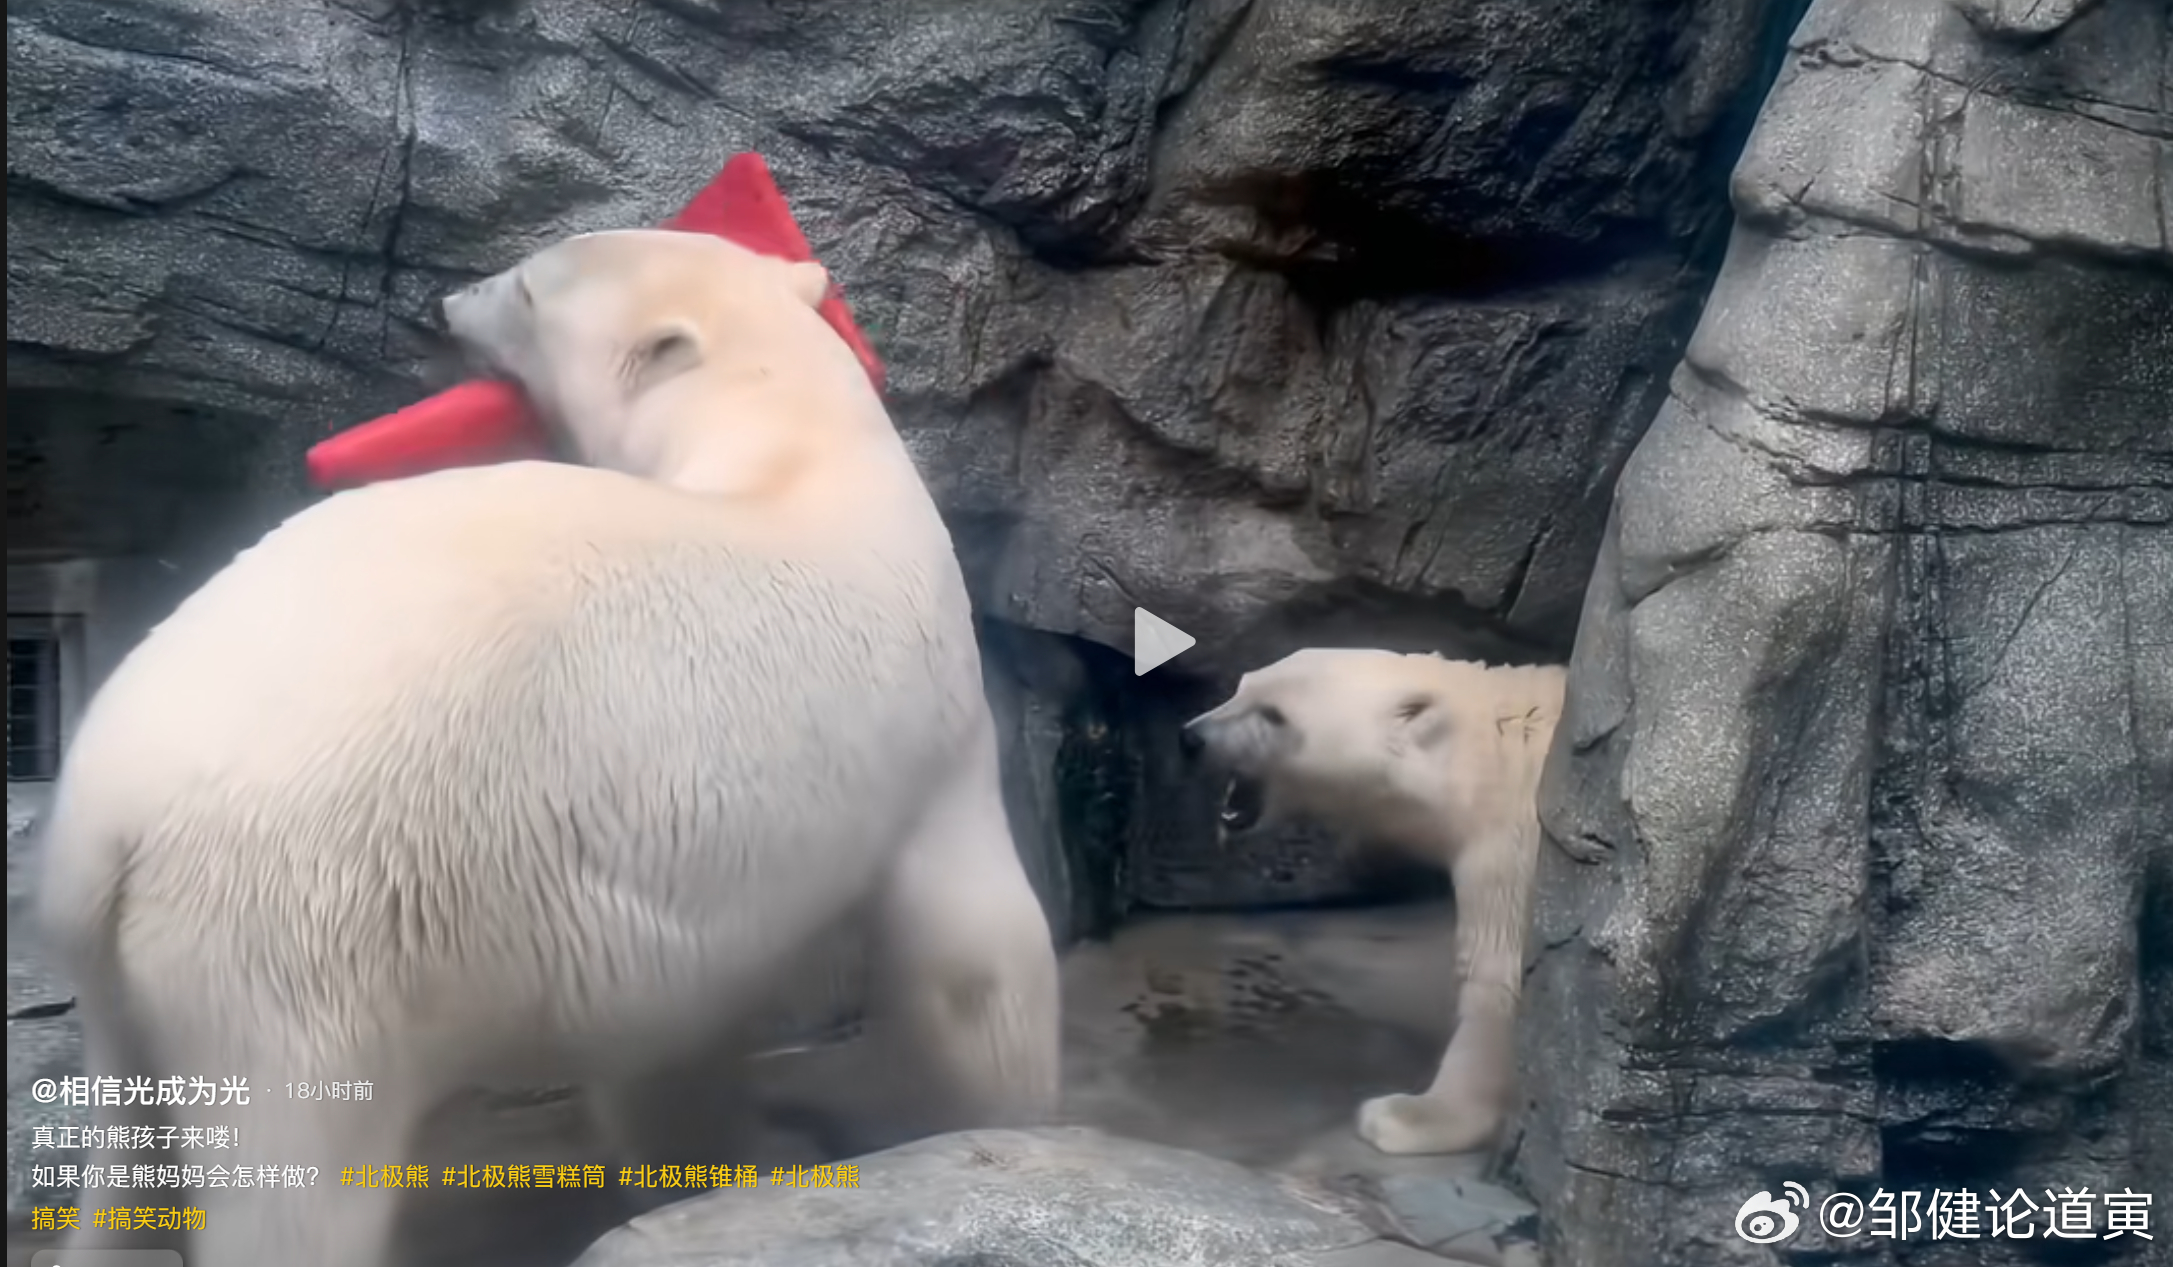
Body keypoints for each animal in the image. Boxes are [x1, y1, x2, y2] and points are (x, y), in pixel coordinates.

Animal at [36, 228, 1061, 1267]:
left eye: (526, 287)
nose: (446, 307)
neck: (791, 447)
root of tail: (109, 816)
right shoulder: (932, 714)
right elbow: (977, 955)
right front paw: (1009, 1125)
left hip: (137, 967)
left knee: (126, 1134)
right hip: (295, 935)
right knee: (299, 1174)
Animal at [1181, 648, 1564, 1156]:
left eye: (1274, 715)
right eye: (1242, 686)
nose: (1191, 739)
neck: (1490, 759)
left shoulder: (1514, 847)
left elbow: (1497, 975)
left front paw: (1405, 1116)